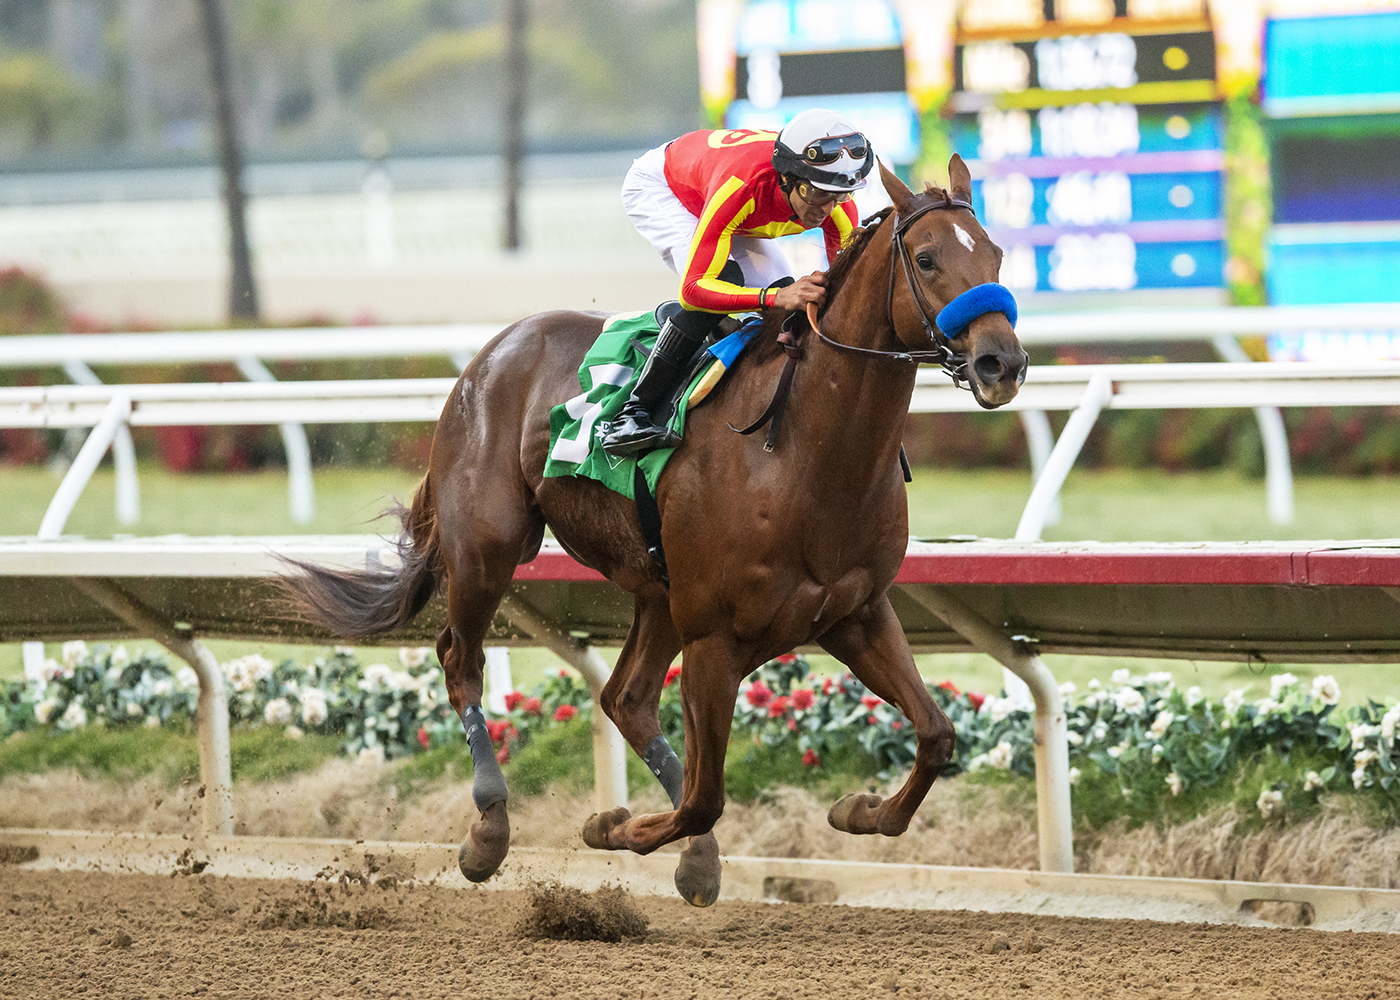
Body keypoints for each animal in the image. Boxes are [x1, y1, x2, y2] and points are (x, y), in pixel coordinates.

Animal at [281, 155, 1030, 901]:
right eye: (927, 259)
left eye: (995, 253)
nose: (1003, 362)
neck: (800, 451)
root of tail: (492, 353)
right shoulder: (715, 636)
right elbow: (704, 797)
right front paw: (615, 827)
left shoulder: (856, 613)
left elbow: (936, 735)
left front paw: (859, 810)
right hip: (488, 552)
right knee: (462, 659)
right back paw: (490, 829)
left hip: (657, 588)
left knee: (626, 698)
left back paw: (692, 852)